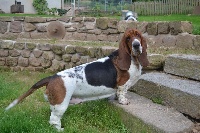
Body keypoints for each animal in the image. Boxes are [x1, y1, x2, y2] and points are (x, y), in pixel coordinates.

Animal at [5, 28, 148, 131]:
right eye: (128, 38)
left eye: (138, 36)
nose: (136, 45)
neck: (132, 59)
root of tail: (52, 77)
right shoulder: (123, 84)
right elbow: (122, 92)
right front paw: (124, 101)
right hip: (61, 104)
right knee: (54, 120)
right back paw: (61, 130)